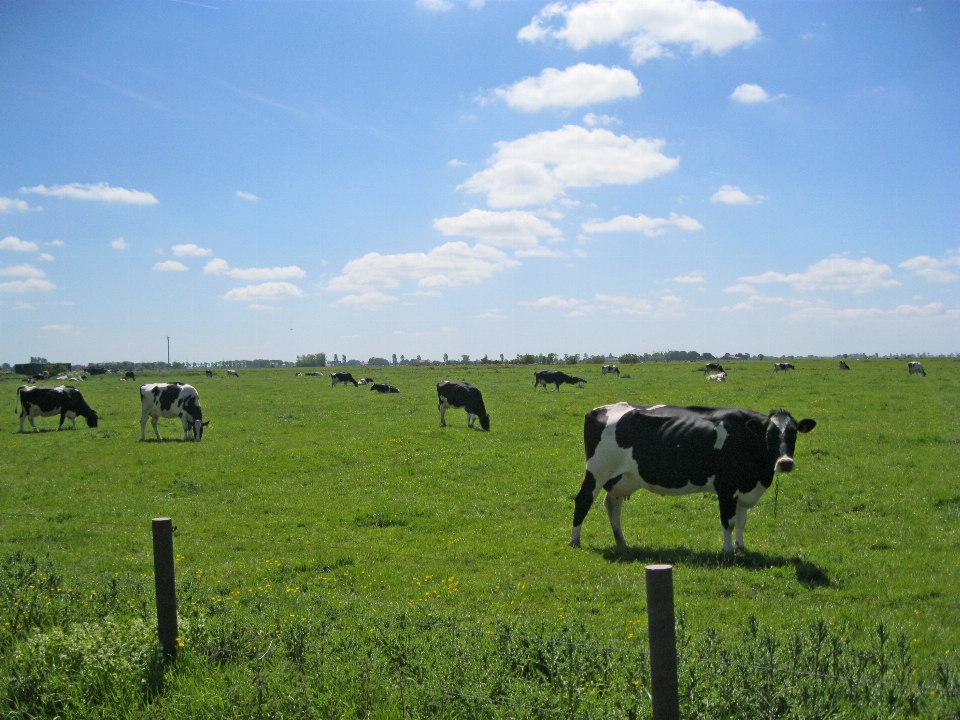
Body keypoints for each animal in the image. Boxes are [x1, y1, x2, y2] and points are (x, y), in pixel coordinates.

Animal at [568, 402, 816, 556]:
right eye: (769, 434)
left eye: (793, 433)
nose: (785, 462)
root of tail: (600, 409)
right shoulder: (726, 487)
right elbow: (728, 521)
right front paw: (728, 551)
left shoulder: (741, 488)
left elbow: (741, 521)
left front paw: (741, 547)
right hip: (597, 471)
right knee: (583, 500)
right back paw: (575, 541)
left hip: (622, 478)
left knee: (612, 504)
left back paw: (622, 542)